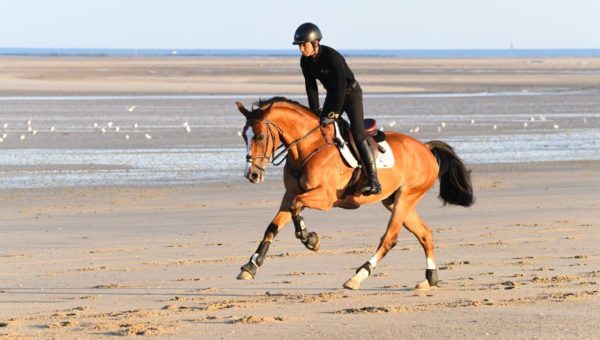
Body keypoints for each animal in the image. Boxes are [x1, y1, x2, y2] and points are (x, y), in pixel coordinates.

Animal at [234, 95, 474, 290]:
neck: (308, 147)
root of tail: (425, 148)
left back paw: (357, 277)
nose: (251, 174)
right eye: (244, 136)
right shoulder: (289, 194)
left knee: (389, 239)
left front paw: (310, 239)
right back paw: (429, 278)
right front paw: (251, 265)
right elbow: (273, 226)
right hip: (394, 200)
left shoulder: (325, 198)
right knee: (424, 233)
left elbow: (297, 206)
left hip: (406, 197)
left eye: (260, 136)